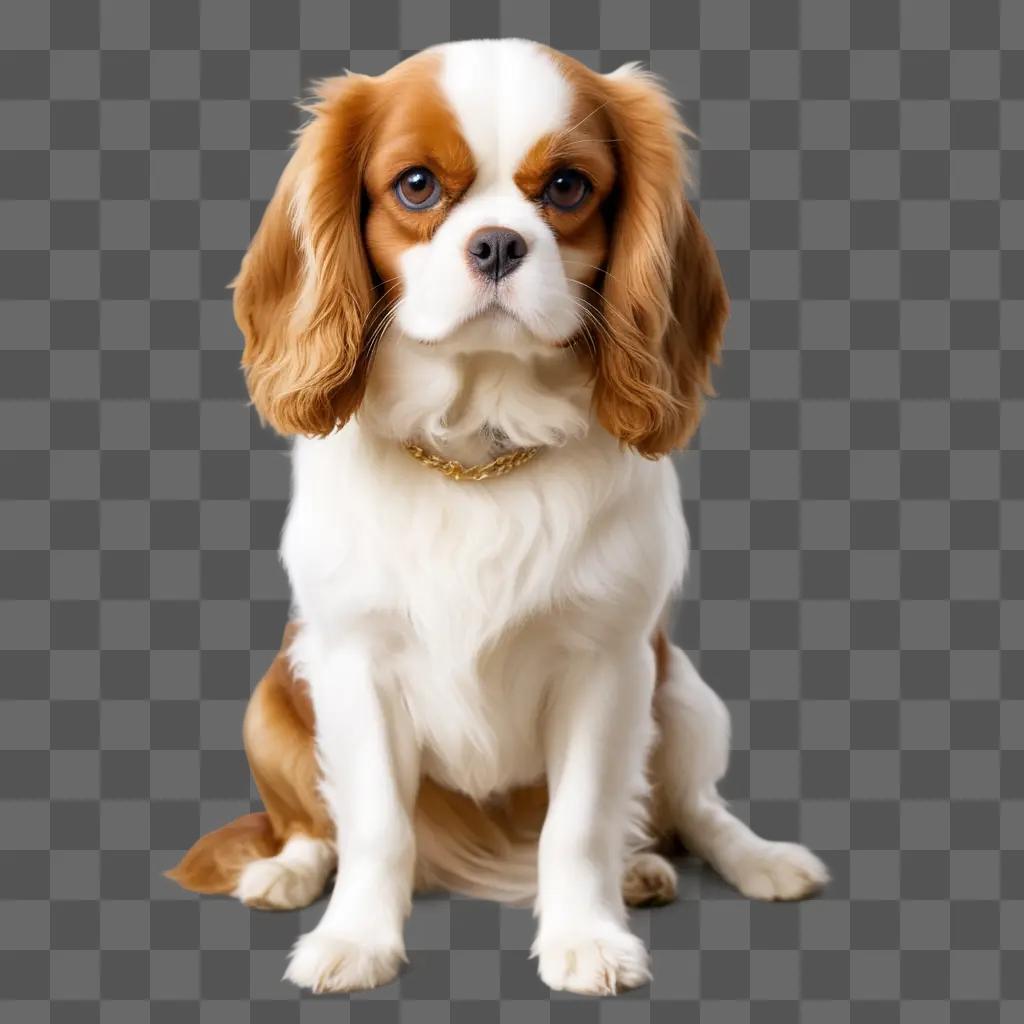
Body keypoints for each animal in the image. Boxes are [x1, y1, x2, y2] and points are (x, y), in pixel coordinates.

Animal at [165, 37, 823, 991]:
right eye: (414, 186)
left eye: (569, 189)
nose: (500, 243)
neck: (478, 448)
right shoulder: (353, 664)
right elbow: (375, 823)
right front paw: (355, 940)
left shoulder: (608, 665)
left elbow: (579, 824)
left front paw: (587, 938)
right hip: (273, 698)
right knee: (311, 824)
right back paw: (288, 870)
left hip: (686, 694)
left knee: (696, 808)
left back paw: (734, 861)